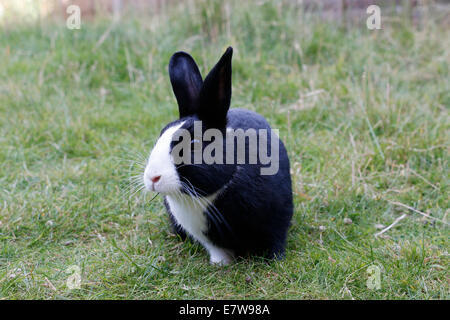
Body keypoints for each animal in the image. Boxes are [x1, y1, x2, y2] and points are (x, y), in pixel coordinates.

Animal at [142, 45, 294, 264]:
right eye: (160, 135)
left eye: (194, 144)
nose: (153, 178)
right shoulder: (208, 238)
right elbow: (217, 249)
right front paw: (219, 264)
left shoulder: (277, 220)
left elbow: (276, 241)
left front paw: (274, 261)